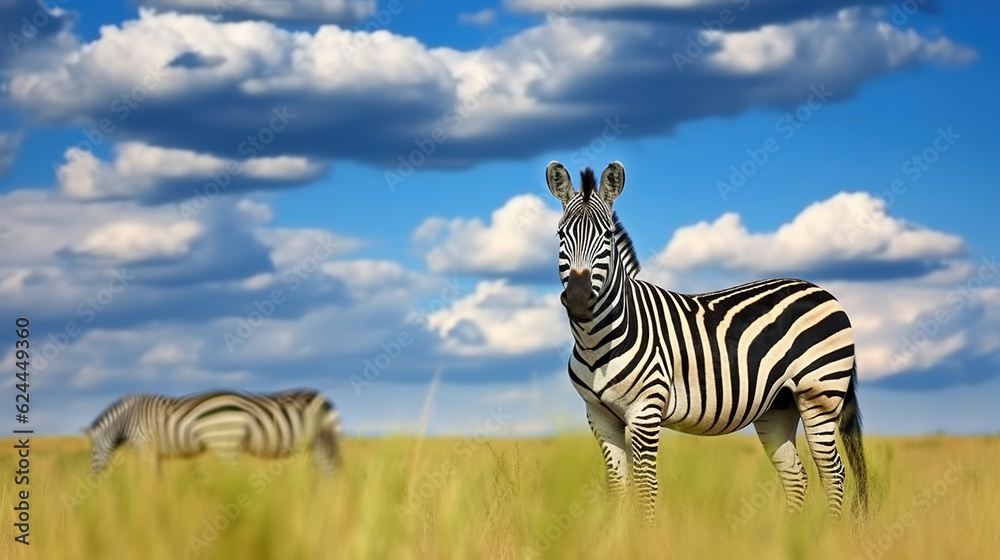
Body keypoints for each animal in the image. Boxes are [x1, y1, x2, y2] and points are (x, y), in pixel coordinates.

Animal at [83, 389, 343, 474]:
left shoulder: (146, 446)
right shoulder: (156, 453)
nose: (93, 478)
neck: (126, 420)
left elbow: (149, 479)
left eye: (92, 451)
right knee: (327, 472)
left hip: (224, 445)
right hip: (318, 444)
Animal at [545, 160, 867, 521]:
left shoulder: (646, 412)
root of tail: (825, 292)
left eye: (607, 236)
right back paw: (793, 532)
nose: (578, 298)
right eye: (560, 235)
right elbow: (618, 487)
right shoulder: (599, 416)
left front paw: (645, 534)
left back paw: (829, 530)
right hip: (778, 405)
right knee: (796, 475)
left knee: (834, 472)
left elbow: (646, 487)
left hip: (820, 393)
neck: (597, 340)